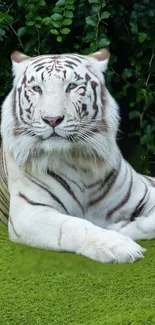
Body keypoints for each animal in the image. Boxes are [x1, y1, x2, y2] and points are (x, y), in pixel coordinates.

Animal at [0, 49, 155, 262]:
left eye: (72, 86)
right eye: (37, 88)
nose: (52, 119)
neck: (79, 160)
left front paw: (122, 227)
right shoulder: (30, 211)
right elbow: (75, 226)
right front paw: (120, 245)